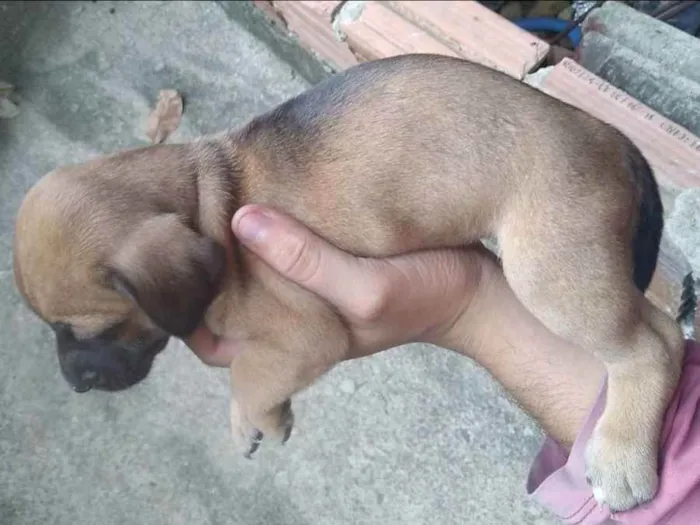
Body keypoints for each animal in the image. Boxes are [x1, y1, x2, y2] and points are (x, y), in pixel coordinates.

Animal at [12, 54, 684, 512]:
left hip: (550, 271)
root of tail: (608, 135)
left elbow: (246, 371)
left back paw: (621, 456)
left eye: (86, 329)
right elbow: (257, 378)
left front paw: (253, 413)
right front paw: (256, 419)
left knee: (651, 343)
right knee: (665, 330)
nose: (73, 385)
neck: (204, 201)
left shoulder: (306, 332)